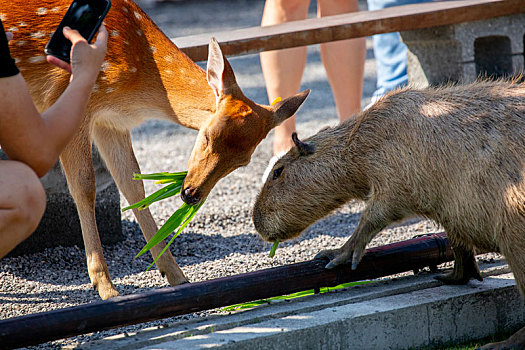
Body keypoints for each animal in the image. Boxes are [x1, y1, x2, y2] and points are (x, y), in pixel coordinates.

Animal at [3, 0, 308, 300]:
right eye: (207, 136)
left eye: (242, 162)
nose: (190, 194)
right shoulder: (66, 99)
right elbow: (84, 186)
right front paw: (105, 287)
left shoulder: (110, 121)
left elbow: (133, 186)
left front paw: (176, 276)